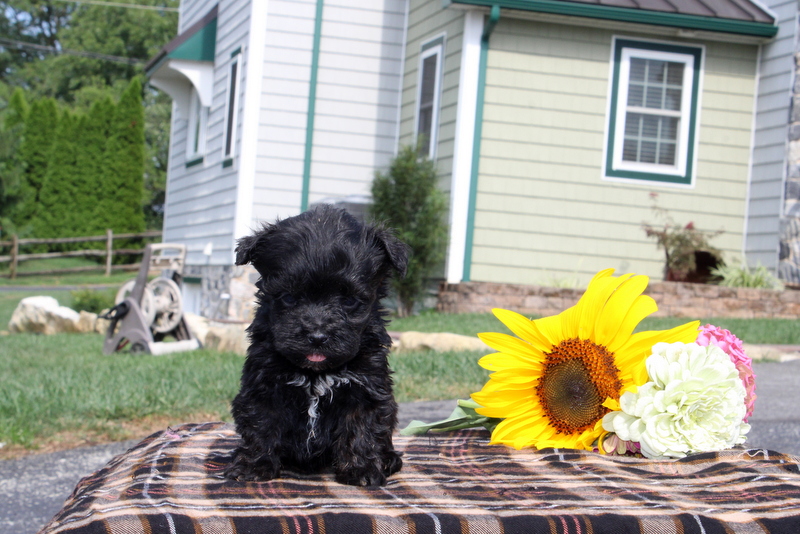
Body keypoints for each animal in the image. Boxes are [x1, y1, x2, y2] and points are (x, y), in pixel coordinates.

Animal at [227, 206, 410, 490]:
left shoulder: (366, 388)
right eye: (289, 297)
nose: (317, 335)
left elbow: (361, 429)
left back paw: (389, 459)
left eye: (349, 301)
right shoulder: (263, 385)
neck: (316, 374)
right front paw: (253, 466)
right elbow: (260, 425)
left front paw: (361, 469)